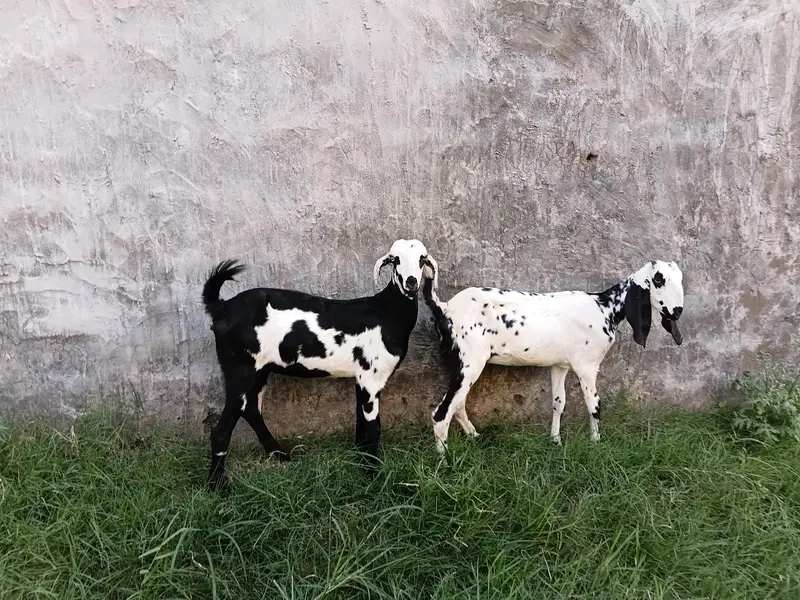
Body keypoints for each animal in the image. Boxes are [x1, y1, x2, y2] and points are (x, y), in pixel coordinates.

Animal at [202, 239, 437, 490]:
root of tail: (221, 308)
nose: (411, 283)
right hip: (240, 368)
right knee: (222, 430)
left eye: (422, 258)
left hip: (259, 370)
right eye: (395, 259)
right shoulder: (372, 377)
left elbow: (360, 421)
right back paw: (218, 486)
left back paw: (279, 454)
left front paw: (359, 458)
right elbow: (374, 427)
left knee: (252, 410)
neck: (387, 313)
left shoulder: (361, 377)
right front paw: (373, 473)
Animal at [422, 260, 684, 453]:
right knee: (441, 412)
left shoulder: (560, 365)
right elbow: (594, 405)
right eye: (659, 279)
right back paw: (444, 461)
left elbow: (559, 403)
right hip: (469, 362)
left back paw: (475, 436)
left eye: (680, 278)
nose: (677, 311)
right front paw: (596, 442)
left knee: (457, 404)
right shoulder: (587, 366)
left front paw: (555, 440)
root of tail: (444, 307)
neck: (604, 308)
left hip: (461, 365)